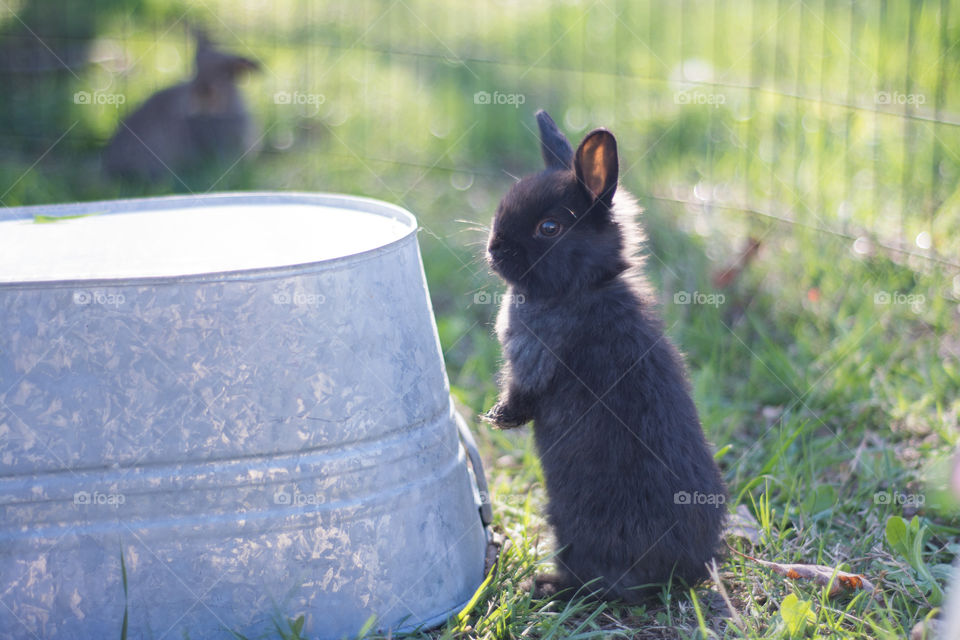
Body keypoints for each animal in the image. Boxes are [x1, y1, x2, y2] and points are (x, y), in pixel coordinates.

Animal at [484, 109, 724, 600]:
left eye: (549, 228)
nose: (493, 251)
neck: (583, 287)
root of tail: (679, 574)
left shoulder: (533, 356)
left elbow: (523, 390)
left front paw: (500, 418)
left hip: (571, 528)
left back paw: (545, 586)